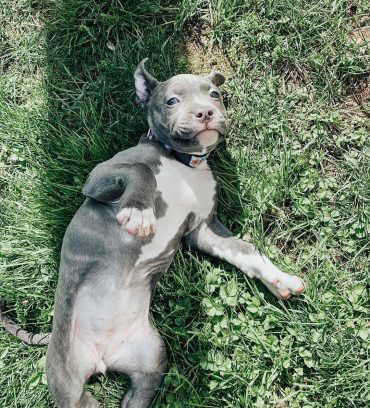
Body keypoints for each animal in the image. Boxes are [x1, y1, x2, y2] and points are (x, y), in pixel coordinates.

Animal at [0, 60, 304, 408]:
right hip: (68, 380)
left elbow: (245, 250)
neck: (182, 163)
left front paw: (280, 279)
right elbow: (142, 170)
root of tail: (102, 358)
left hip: (150, 361)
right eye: (172, 100)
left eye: (214, 94)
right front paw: (140, 212)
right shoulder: (98, 177)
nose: (205, 112)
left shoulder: (201, 228)